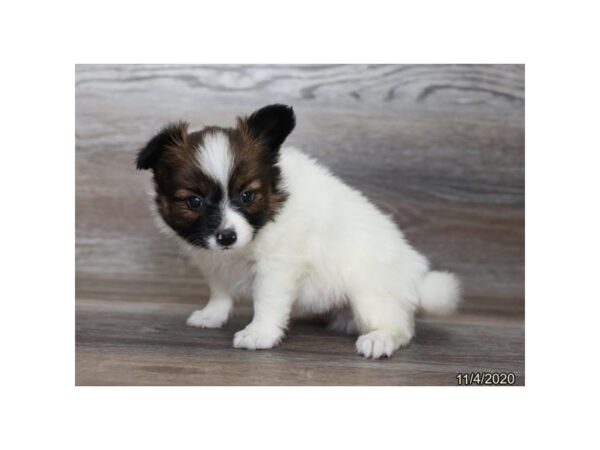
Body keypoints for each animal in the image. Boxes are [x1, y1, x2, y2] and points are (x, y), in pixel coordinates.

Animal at [136, 103, 460, 358]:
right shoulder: (215, 262)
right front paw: (212, 315)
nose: (227, 236)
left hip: (369, 292)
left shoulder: (277, 267)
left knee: (400, 325)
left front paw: (260, 333)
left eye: (247, 196)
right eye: (194, 201)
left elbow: (266, 302)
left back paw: (380, 338)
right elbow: (220, 291)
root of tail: (415, 276)